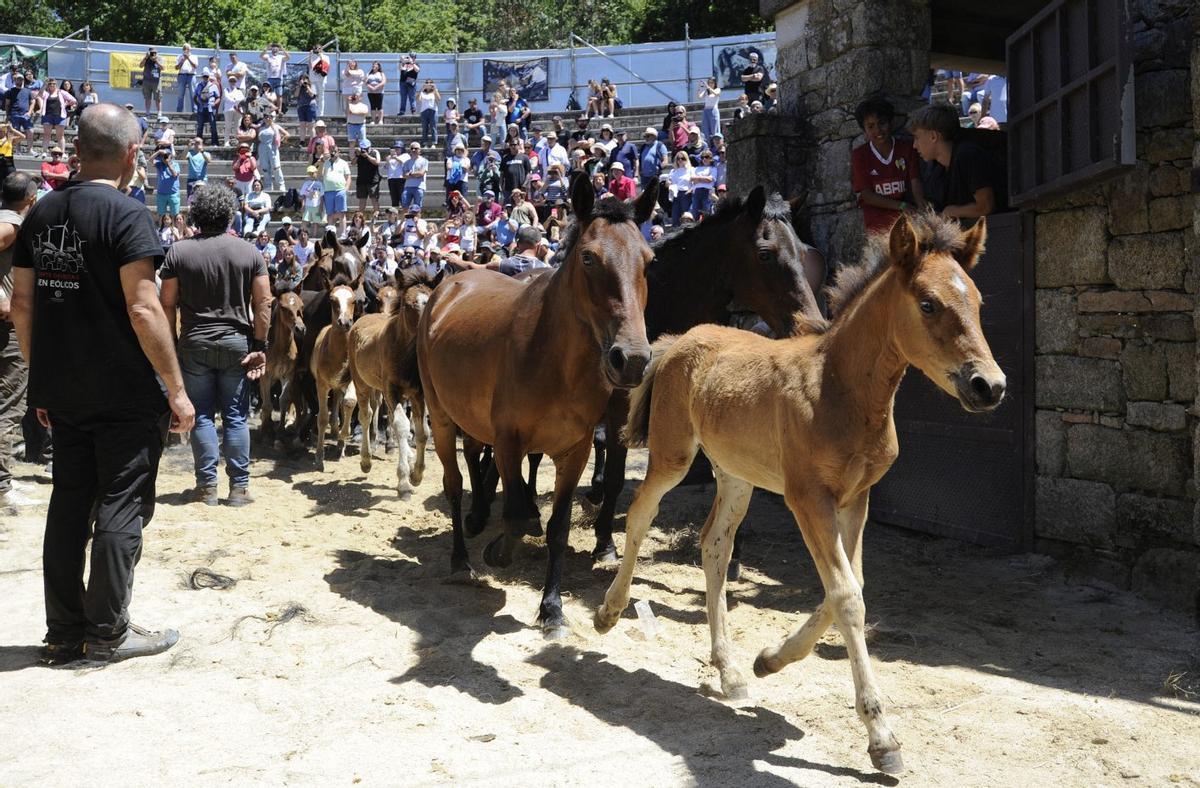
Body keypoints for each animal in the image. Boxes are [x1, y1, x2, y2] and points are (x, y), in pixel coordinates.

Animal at [259, 290, 306, 441]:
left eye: (301, 307)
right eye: (284, 308)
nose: (300, 329)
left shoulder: (288, 375)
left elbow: (284, 400)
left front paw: (280, 431)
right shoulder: (265, 375)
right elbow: (267, 404)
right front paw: (265, 431)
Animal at [347, 267, 441, 495]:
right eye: (407, 305)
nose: (425, 332)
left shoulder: (418, 394)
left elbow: (422, 431)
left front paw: (417, 474)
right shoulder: (392, 390)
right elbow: (402, 425)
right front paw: (404, 481)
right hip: (362, 383)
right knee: (366, 414)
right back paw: (366, 460)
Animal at [415, 174, 659, 637]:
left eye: (649, 260)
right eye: (588, 257)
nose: (632, 359)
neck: (554, 361)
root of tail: (449, 286)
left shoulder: (575, 449)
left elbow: (556, 528)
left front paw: (552, 608)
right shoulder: (509, 441)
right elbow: (515, 515)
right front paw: (496, 551)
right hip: (441, 419)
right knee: (454, 485)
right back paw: (461, 557)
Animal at [594, 214, 1004, 775]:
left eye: (979, 302)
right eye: (928, 303)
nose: (990, 385)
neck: (842, 391)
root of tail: (678, 340)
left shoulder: (856, 499)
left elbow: (848, 588)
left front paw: (769, 660)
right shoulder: (808, 499)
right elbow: (848, 597)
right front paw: (882, 738)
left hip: (736, 473)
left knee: (714, 544)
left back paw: (730, 672)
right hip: (673, 456)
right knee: (639, 515)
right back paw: (608, 613)